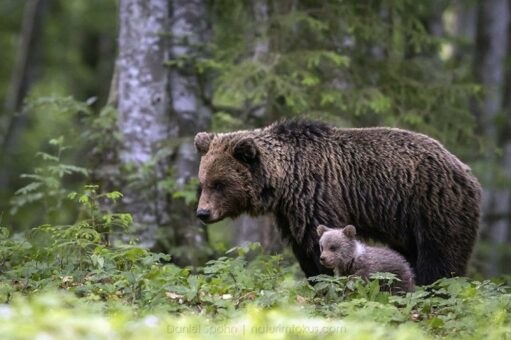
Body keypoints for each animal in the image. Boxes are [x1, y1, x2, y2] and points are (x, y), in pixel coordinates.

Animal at [194, 119, 482, 284]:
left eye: (220, 183)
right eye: (203, 182)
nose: (203, 213)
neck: (285, 182)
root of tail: (465, 169)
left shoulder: (317, 195)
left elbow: (319, 242)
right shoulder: (290, 213)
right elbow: (306, 250)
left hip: (434, 206)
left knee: (441, 256)